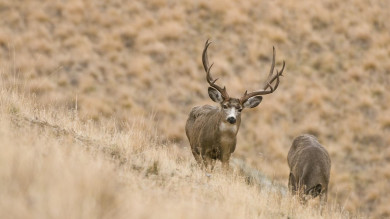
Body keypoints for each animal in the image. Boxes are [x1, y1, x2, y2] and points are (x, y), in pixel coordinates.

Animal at [184, 39, 284, 169]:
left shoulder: (227, 155)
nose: (231, 118)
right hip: (193, 146)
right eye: (225, 106)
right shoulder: (205, 150)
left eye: (240, 109)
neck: (221, 142)